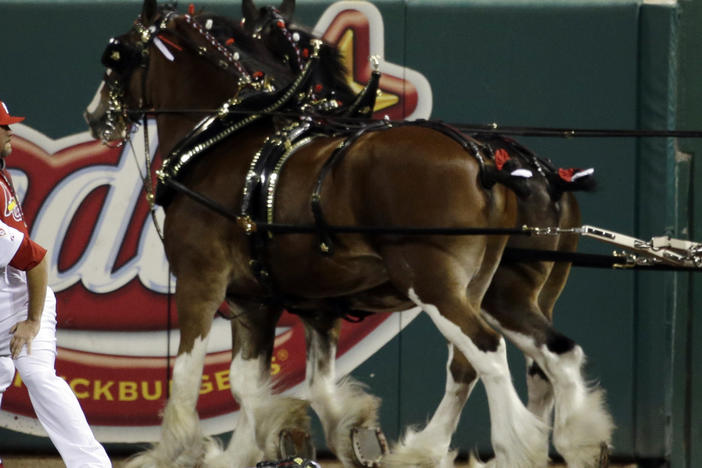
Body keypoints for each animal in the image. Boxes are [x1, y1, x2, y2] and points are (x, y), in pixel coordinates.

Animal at [84, 1, 616, 466]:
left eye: (116, 56)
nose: (95, 117)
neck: (226, 138)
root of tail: (493, 164)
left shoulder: (203, 282)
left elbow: (193, 376)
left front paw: (175, 450)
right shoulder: (274, 301)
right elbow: (264, 382)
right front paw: (310, 433)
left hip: (436, 284)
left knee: (486, 353)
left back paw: (507, 446)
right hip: (498, 290)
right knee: (543, 356)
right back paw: (559, 441)